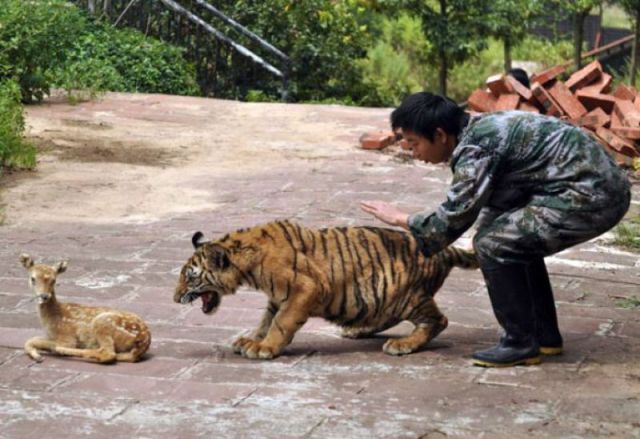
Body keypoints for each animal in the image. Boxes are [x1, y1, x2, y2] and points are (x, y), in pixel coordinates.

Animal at [172, 222, 478, 360]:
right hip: (385, 297)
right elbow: (265, 321)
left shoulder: (305, 289)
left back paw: (403, 344)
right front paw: (251, 340)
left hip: (408, 298)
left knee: (438, 320)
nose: (174, 299)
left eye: (190, 277)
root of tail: (445, 250)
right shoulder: (276, 298)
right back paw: (357, 330)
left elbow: (281, 324)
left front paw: (265, 348)